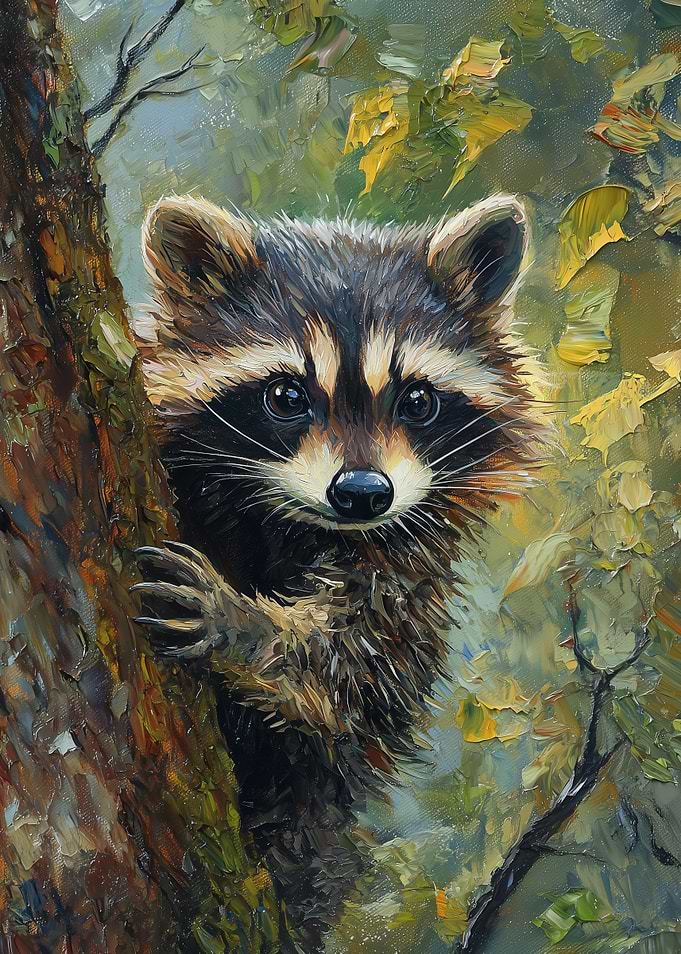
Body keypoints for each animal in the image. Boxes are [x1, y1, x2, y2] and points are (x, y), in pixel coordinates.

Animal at [131, 194, 541, 952]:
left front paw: (244, 626)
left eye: (416, 400)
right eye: (286, 396)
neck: (287, 518)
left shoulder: (406, 565)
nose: (362, 493)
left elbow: (355, 669)